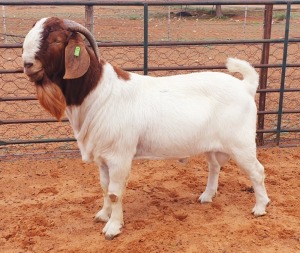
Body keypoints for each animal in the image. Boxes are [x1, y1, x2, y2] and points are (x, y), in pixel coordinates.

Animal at [22, 17, 270, 239]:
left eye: (56, 39)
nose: (27, 64)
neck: (100, 92)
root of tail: (245, 86)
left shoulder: (119, 157)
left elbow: (114, 193)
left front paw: (113, 228)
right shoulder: (102, 158)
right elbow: (104, 187)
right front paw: (103, 215)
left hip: (241, 143)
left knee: (257, 171)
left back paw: (260, 207)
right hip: (212, 145)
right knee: (215, 167)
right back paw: (207, 196)